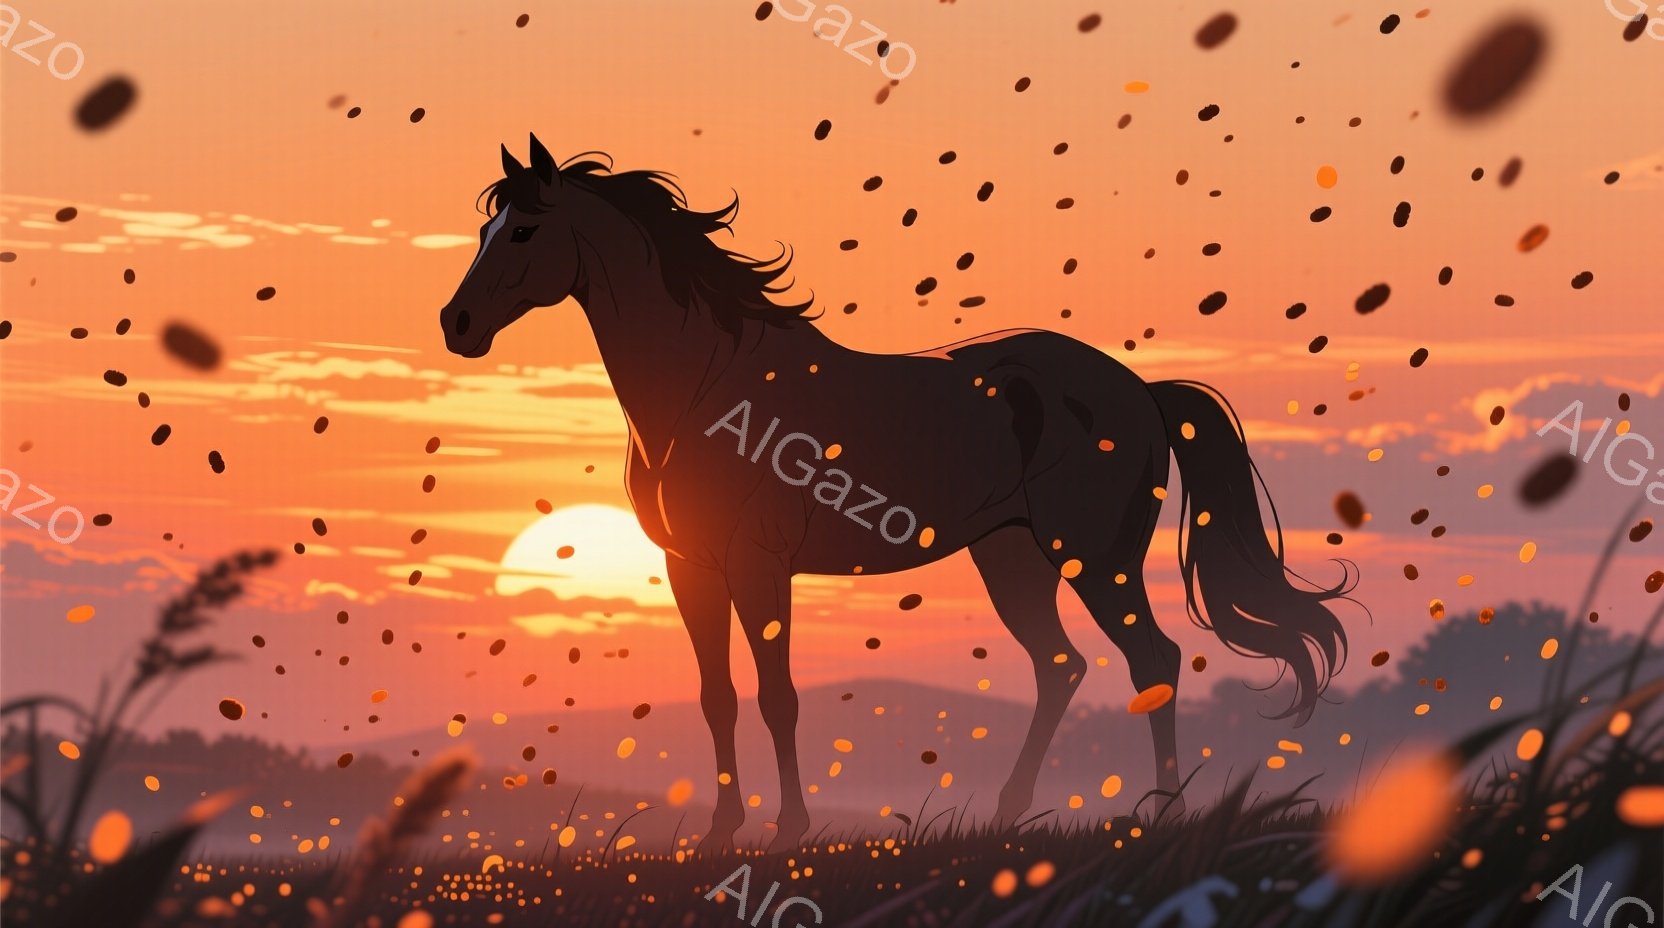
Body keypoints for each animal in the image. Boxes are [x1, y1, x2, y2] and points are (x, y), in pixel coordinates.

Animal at [439, 135, 1354, 851]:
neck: (706, 389)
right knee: (1061, 666)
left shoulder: (759, 567)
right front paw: (720, 835)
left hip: (1096, 560)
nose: (456, 325)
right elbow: (717, 698)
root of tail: (1139, 388)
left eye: (524, 230)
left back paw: (1160, 810)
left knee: (1152, 660)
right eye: (484, 227)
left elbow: (778, 697)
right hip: (1013, 560)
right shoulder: (689, 569)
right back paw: (1009, 814)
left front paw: (789, 829)